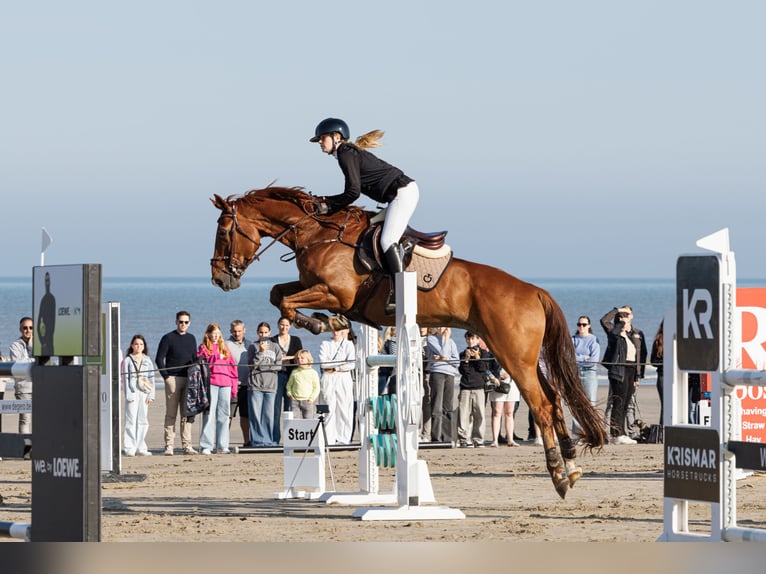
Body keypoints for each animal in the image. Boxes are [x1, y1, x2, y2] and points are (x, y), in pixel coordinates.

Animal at [208, 186, 608, 500]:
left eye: (224, 231)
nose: (220, 279)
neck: (315, 232)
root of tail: (535, 291)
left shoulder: (336, 292)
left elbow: (288, 302)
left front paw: (320, 321)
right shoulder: (315, 287)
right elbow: (278, 293)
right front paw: (326, 321)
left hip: (513, 356)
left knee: (541, 404)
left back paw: (558, 473)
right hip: (519, 356)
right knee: (554, 398)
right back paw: (571, 465)